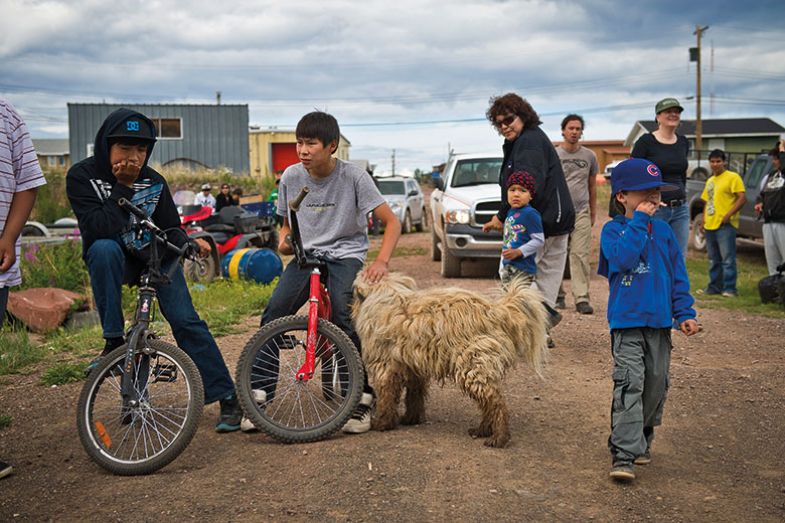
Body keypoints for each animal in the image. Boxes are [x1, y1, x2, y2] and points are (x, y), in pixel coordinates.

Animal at [352, 272, 548, 448]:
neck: (385, 294)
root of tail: (496, 311)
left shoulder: (384, 367)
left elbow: (387, 397)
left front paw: (383, 423)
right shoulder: (414, 367)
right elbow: (414, 395)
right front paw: (411, 418)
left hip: (472, 366)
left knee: (496, 403)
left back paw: (498, 438)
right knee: (489, 402)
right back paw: (482, 430)